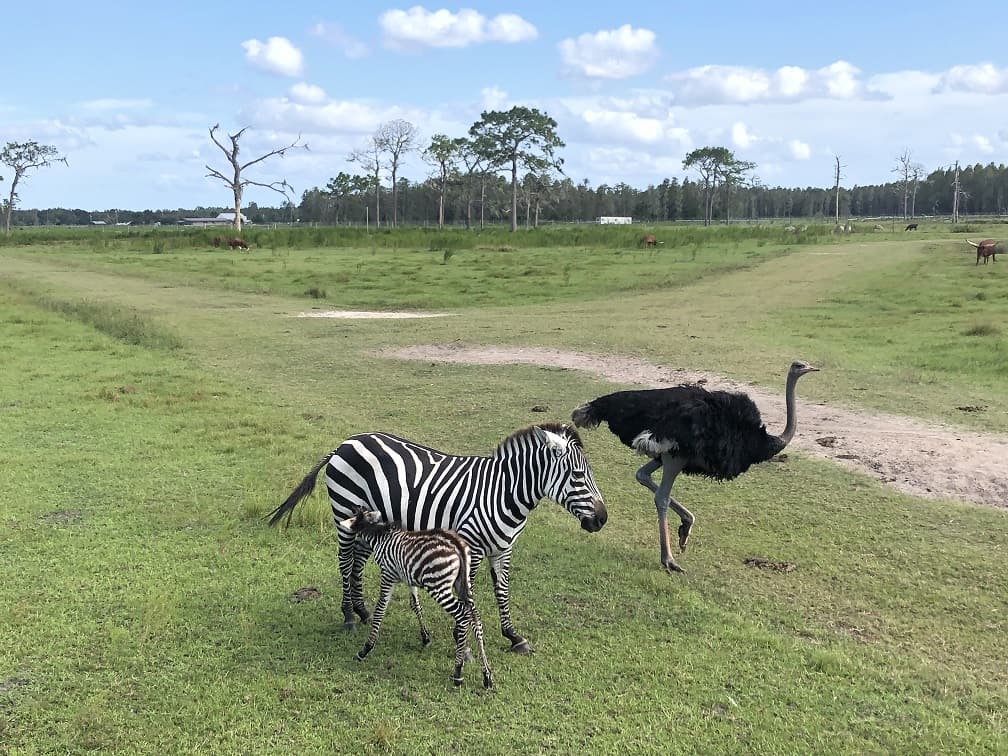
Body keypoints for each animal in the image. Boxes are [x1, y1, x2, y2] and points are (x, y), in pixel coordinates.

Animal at [268, 423, 608, 653]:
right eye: (579, 476)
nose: (602, 519)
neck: (504, 493)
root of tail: (345, 443)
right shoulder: (471, 546)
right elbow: (468, 597)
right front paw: (465, 636)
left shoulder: (502, 549)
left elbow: (502, 592)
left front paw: (513, 636)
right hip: (343, 512)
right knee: (344, 563)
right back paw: (349, 616)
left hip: (366, 520)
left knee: (357, 564)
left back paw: (362, 611)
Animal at [340, 510, 493, 693]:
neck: (381, 536)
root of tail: (458, 546)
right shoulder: (408, 577)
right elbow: (416, 605)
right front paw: (425, 637)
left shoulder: (388, 575)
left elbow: (380, 611)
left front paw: (365, 649)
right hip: (464, 583)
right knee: (475, 618)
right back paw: (486, 675)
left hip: (438, 586)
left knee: (463, 616)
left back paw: (457, 673)